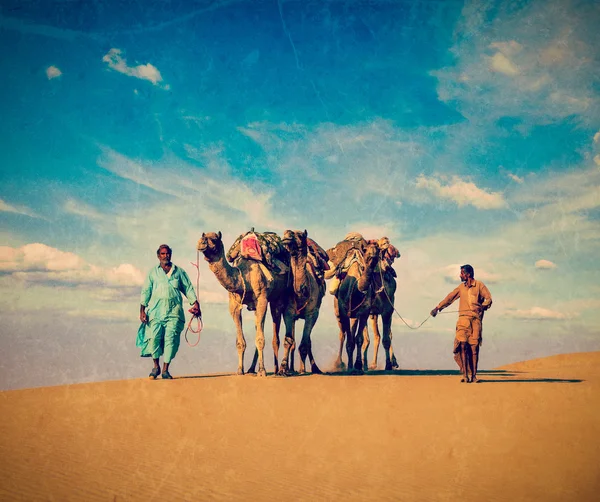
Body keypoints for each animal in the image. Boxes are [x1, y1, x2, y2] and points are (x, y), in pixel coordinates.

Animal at [197, 231, 290, 376]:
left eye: (214, 239)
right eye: (203, 235)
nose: (201, 243)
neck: (243, 278)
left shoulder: (262, 299)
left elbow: (260, 339)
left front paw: (262, 371)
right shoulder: (234, 305)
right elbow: (241, 342)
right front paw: (240, 370)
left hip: (278, 298)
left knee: (275, 329)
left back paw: (277, 370)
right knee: (259, 326)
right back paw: (253, 369)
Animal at [278, 229, 326, 374]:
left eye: (299, 235)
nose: (286, 234)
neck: (302, 291)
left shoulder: (312, 314)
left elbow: (304, 344)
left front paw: (303, 370)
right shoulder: (288, 313)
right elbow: (288, 340)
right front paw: (282, 369)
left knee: (307, 341)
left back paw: (311, 368)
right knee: (295, 342)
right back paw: (292, 369)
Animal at [332, 241, 380, 374]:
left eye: (377, 250)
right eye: (367, 251)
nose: (373, 255)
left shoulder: (364, 313)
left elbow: (359, 339)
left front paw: (358, 365)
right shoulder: (344, 312)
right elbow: (349, 341)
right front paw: (349, 367)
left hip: (354, 316)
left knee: (353, 333)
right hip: (338, 314)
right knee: (342, 335)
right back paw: (339, 364)